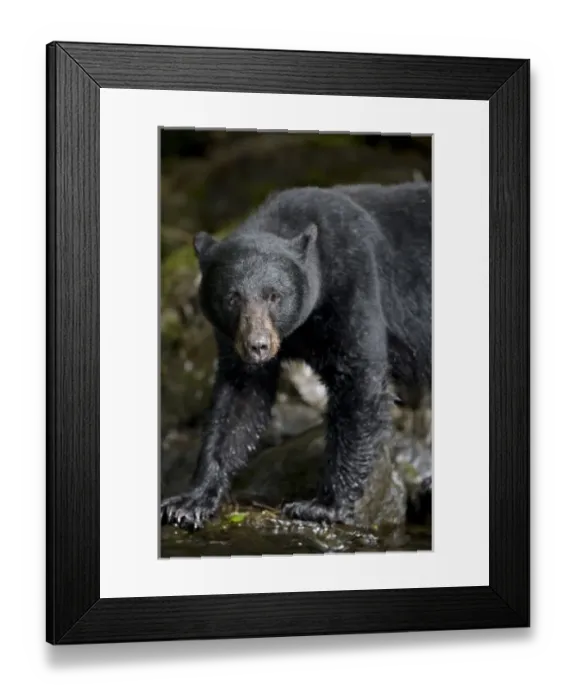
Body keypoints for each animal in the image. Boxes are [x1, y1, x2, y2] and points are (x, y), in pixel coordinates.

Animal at [161, 181, 432, 531]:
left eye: (274, 296)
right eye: (232, 298)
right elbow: (237, 403)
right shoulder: (233, 342)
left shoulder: (355, 285)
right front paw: (189, 502)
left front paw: (322, 505)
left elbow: (359, 384)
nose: (257, 346)